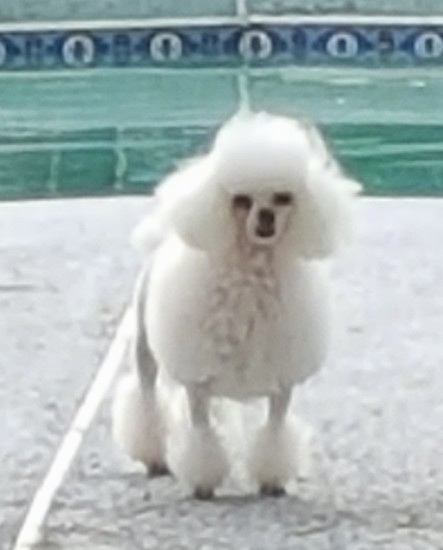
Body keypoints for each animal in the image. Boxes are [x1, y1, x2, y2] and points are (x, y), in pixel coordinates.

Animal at [112, 111, 360, 500]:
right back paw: (155, 458)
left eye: (284, 197)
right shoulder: (198, 380)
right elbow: (200, 433)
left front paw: (272, 480)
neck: (251, 271)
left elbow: (275, 430)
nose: (265, 217)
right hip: (144, 350)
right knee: (147, 396)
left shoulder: (282, 381)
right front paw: (202, 482)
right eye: (241, 200)